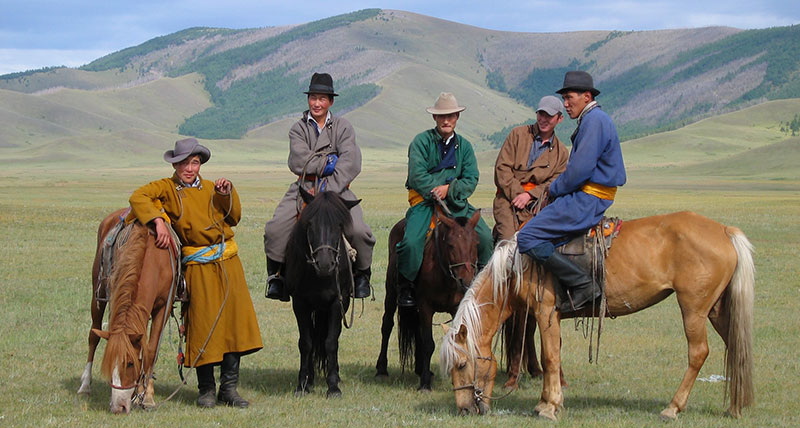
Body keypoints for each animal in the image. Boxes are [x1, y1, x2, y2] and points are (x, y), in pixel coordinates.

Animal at [76, 209, 177, 412]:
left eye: (130, 364)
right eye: (108, 364)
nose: (118, 407)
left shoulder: (163, 307)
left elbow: (150, 351)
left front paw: (146, 395)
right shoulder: (115, 297)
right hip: (97, 293)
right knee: (93, 336)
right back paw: (85, 386)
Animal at [286, 190, 358, 398]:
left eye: (339, 225)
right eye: (310, 224)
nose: (325, 264)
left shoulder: (337, 302)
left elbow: (331, 342)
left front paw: (333, 386)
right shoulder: (300, 303)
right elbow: (306, 343)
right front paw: (302, 384)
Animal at [440, 212, 752, 420]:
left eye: (462, 364)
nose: (465, 409)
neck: (516, 267)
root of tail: (725, 230)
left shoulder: (545, 312)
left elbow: (550, 358)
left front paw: (550, 407)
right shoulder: (550, 317)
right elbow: (553, 356)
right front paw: (545, 402)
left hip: (693, 309)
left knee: (698, 352)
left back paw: (673, 408)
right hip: (716, 309)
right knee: (736, 348)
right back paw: (735, 407)